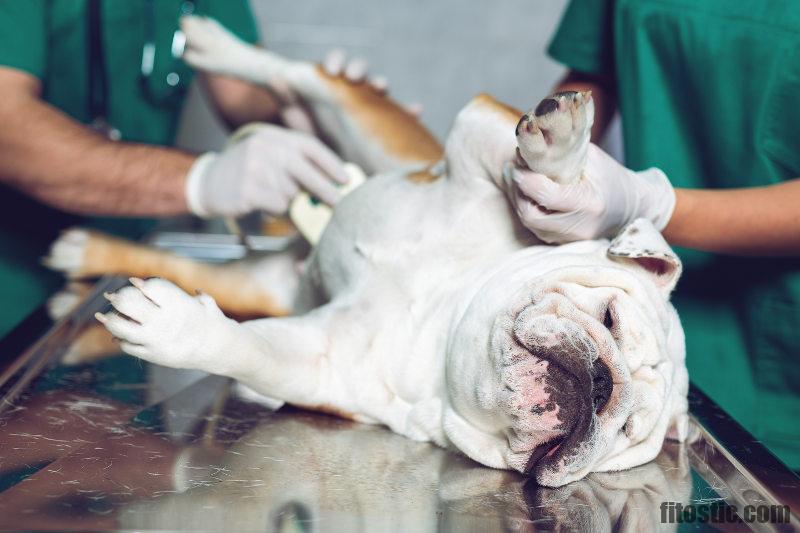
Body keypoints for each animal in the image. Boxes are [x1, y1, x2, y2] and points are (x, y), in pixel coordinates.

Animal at [47, 17, 692, 486]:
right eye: (608, 317)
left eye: (626, 431)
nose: (603, 386)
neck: (446, 317)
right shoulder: (474, 134)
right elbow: (548, 176)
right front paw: (563, 153)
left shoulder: (320, 363)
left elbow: (248, 348)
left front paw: (174, 328)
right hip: (378, 131)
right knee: (304, 74)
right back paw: (216, 43)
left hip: (262, 284)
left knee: (189, 266)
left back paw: (86, 251)